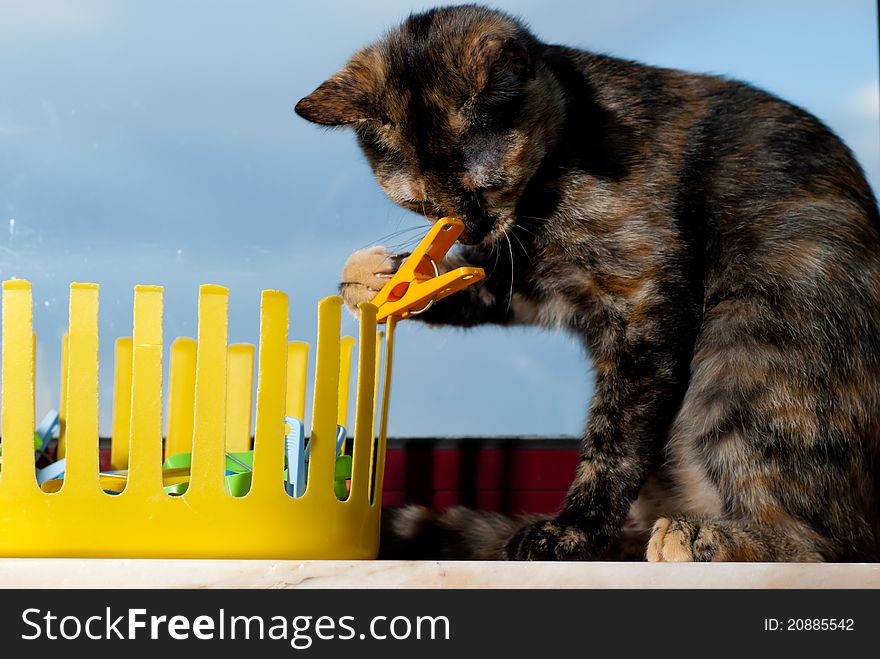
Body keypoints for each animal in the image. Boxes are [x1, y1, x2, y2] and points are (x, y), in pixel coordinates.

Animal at [296, 5, 880, 564]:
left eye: (487, 185)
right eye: (420, 203)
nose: (473, 227)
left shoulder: (641, 300)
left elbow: (614, 439)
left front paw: (572, 533)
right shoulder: (527, 280)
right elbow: (466, 283)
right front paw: (372, 279)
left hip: (744, 359)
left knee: (817, 544)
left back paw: (699, 538)